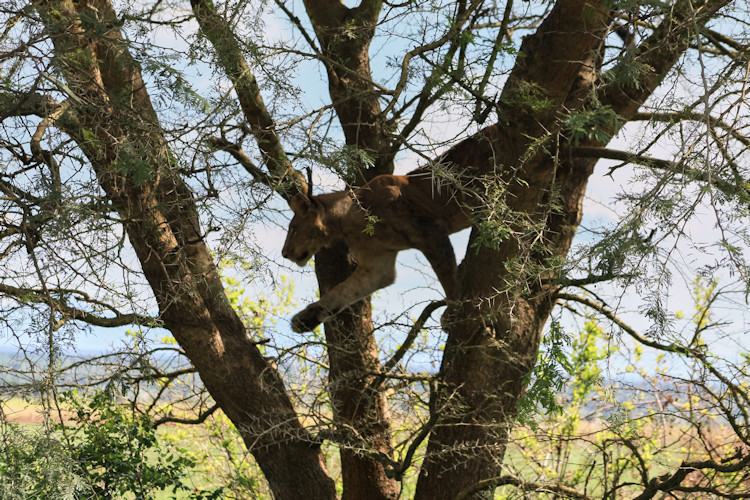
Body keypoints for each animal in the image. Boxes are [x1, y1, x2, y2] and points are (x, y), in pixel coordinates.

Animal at [282, 168, 472, 332]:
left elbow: (448, 279)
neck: (346, 221)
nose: (284, 254)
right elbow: (341, 291)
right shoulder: (377, 266)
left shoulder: (430, 233)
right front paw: (304, 320)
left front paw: (453, 313)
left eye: (294, 229)